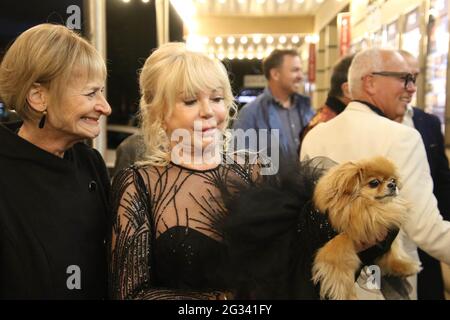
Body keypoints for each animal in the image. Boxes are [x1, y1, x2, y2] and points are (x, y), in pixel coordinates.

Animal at [312, 156, 420, 298]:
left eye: (393, 180)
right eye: (374, 182)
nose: (393, 185)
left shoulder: (386, 233)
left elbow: (393, 252)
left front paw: (403, 267)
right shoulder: (339, 244)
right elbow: (340, 273)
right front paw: (347, 295)